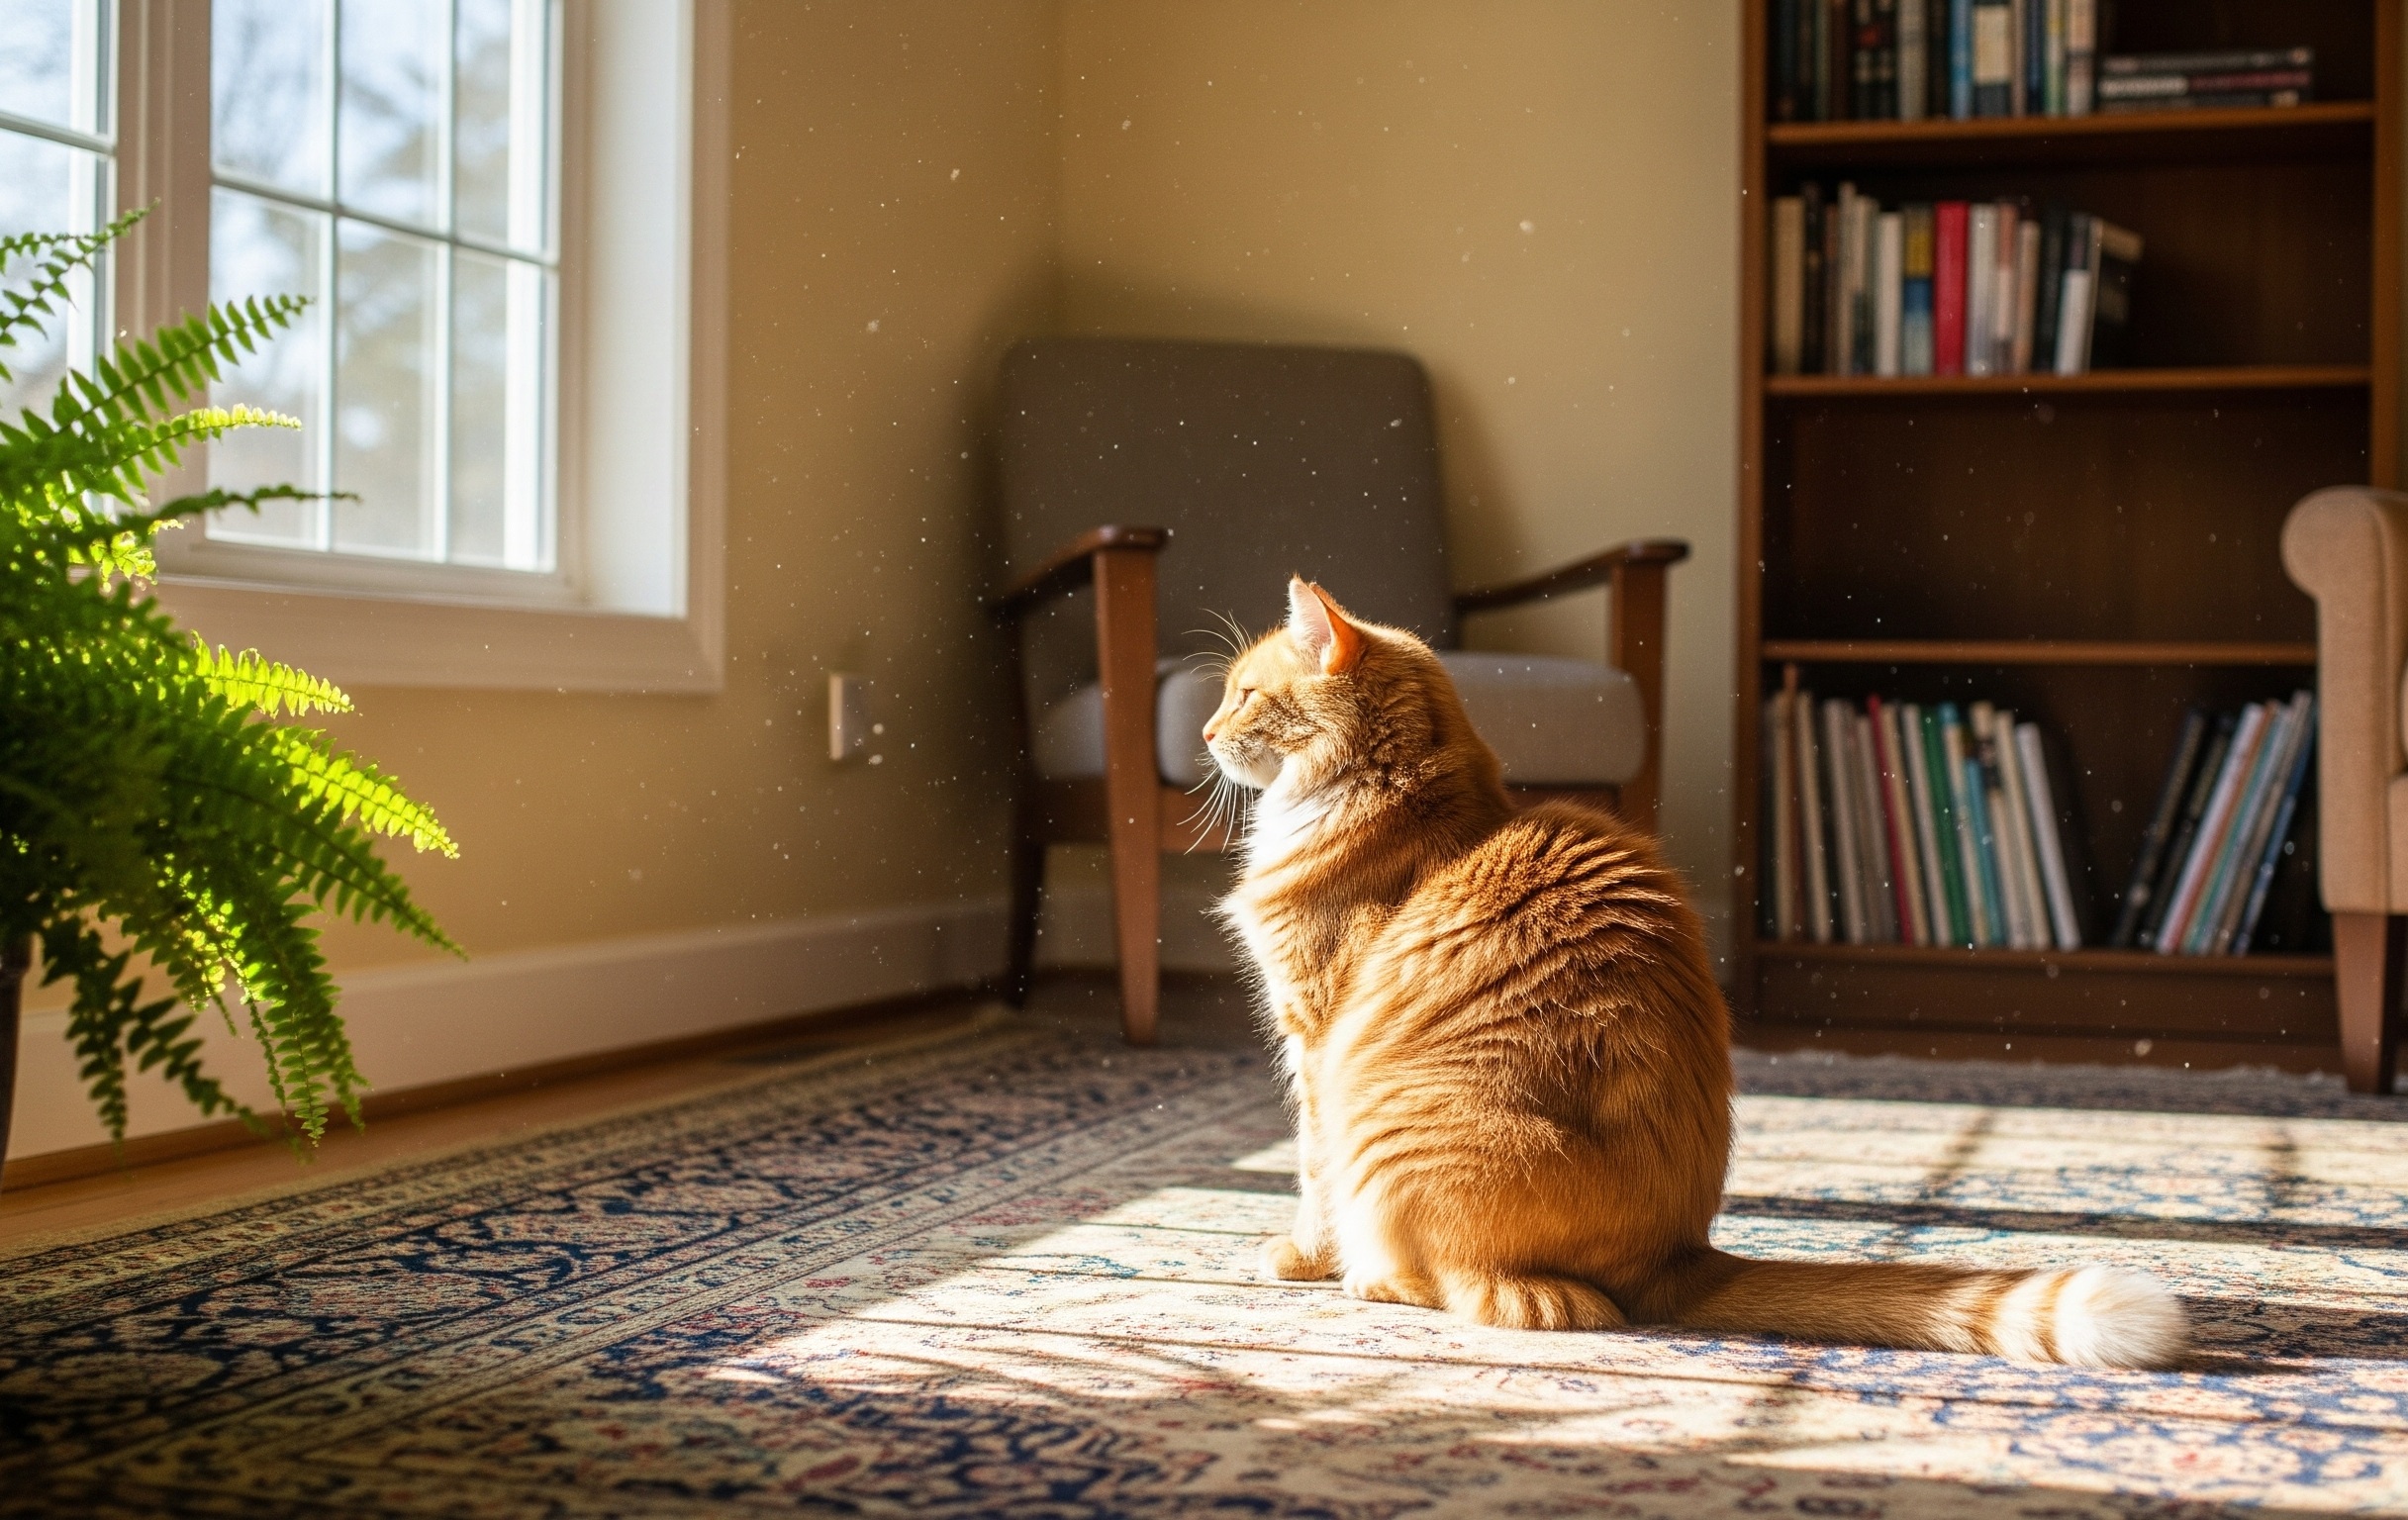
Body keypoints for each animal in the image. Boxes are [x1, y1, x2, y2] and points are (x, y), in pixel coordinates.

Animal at [1201, 576, 2186, 1369]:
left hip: (1384, 1123)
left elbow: (1311, 1174)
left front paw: (1300, 1258)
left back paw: (1370, 1279)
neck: (1396, 800)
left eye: (1244, 694)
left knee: (1475, 1286)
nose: (1204, 731)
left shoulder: (1316, 1042)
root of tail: (1679, 1259)